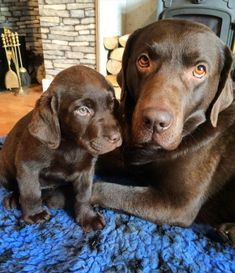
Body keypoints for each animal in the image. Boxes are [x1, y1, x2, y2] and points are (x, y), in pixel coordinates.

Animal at [0, 65, 121, 231]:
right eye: (83, 110)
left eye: (112, 103)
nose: (116, 137)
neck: (70, 145)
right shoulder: (27, 165)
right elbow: (30, 192)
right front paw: (34, 215)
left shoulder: (86, 169)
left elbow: (84, 194)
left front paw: (87, 217)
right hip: (5, 171)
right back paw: (13, 198)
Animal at [92, 19, 235, 244]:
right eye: (143, 60)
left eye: (200, 70)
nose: (154, 121)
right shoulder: (128, 159)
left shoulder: (178, 204)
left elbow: (102, 188)